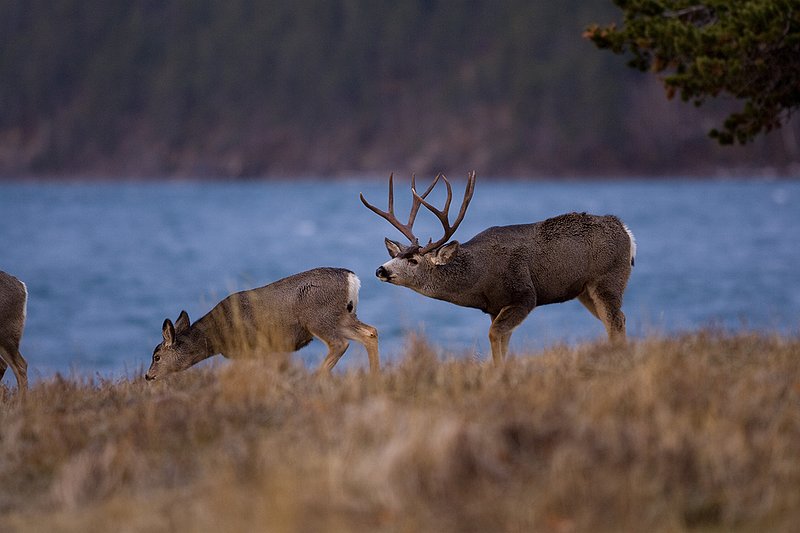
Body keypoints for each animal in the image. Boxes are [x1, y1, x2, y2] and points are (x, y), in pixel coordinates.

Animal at [145, 267, 379, 381]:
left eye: (157, 356)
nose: (148, 376)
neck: (216, 334)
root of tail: (352, 278)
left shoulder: (253, 346)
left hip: (318, 318)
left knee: (340, 344)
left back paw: (316, 378)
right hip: (342, 316)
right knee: (370, 332)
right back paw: (374, 376)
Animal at [360, 171, 636, 364]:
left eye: (413, 260)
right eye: (398, 254)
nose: (381, 270)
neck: (479, 275)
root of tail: (626, 231)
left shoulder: (524, 295)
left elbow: (494, 335)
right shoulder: (495, 307)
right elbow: (502, 340)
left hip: (608, 278)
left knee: (615, 321)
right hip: (585, 291)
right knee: (616, 319)